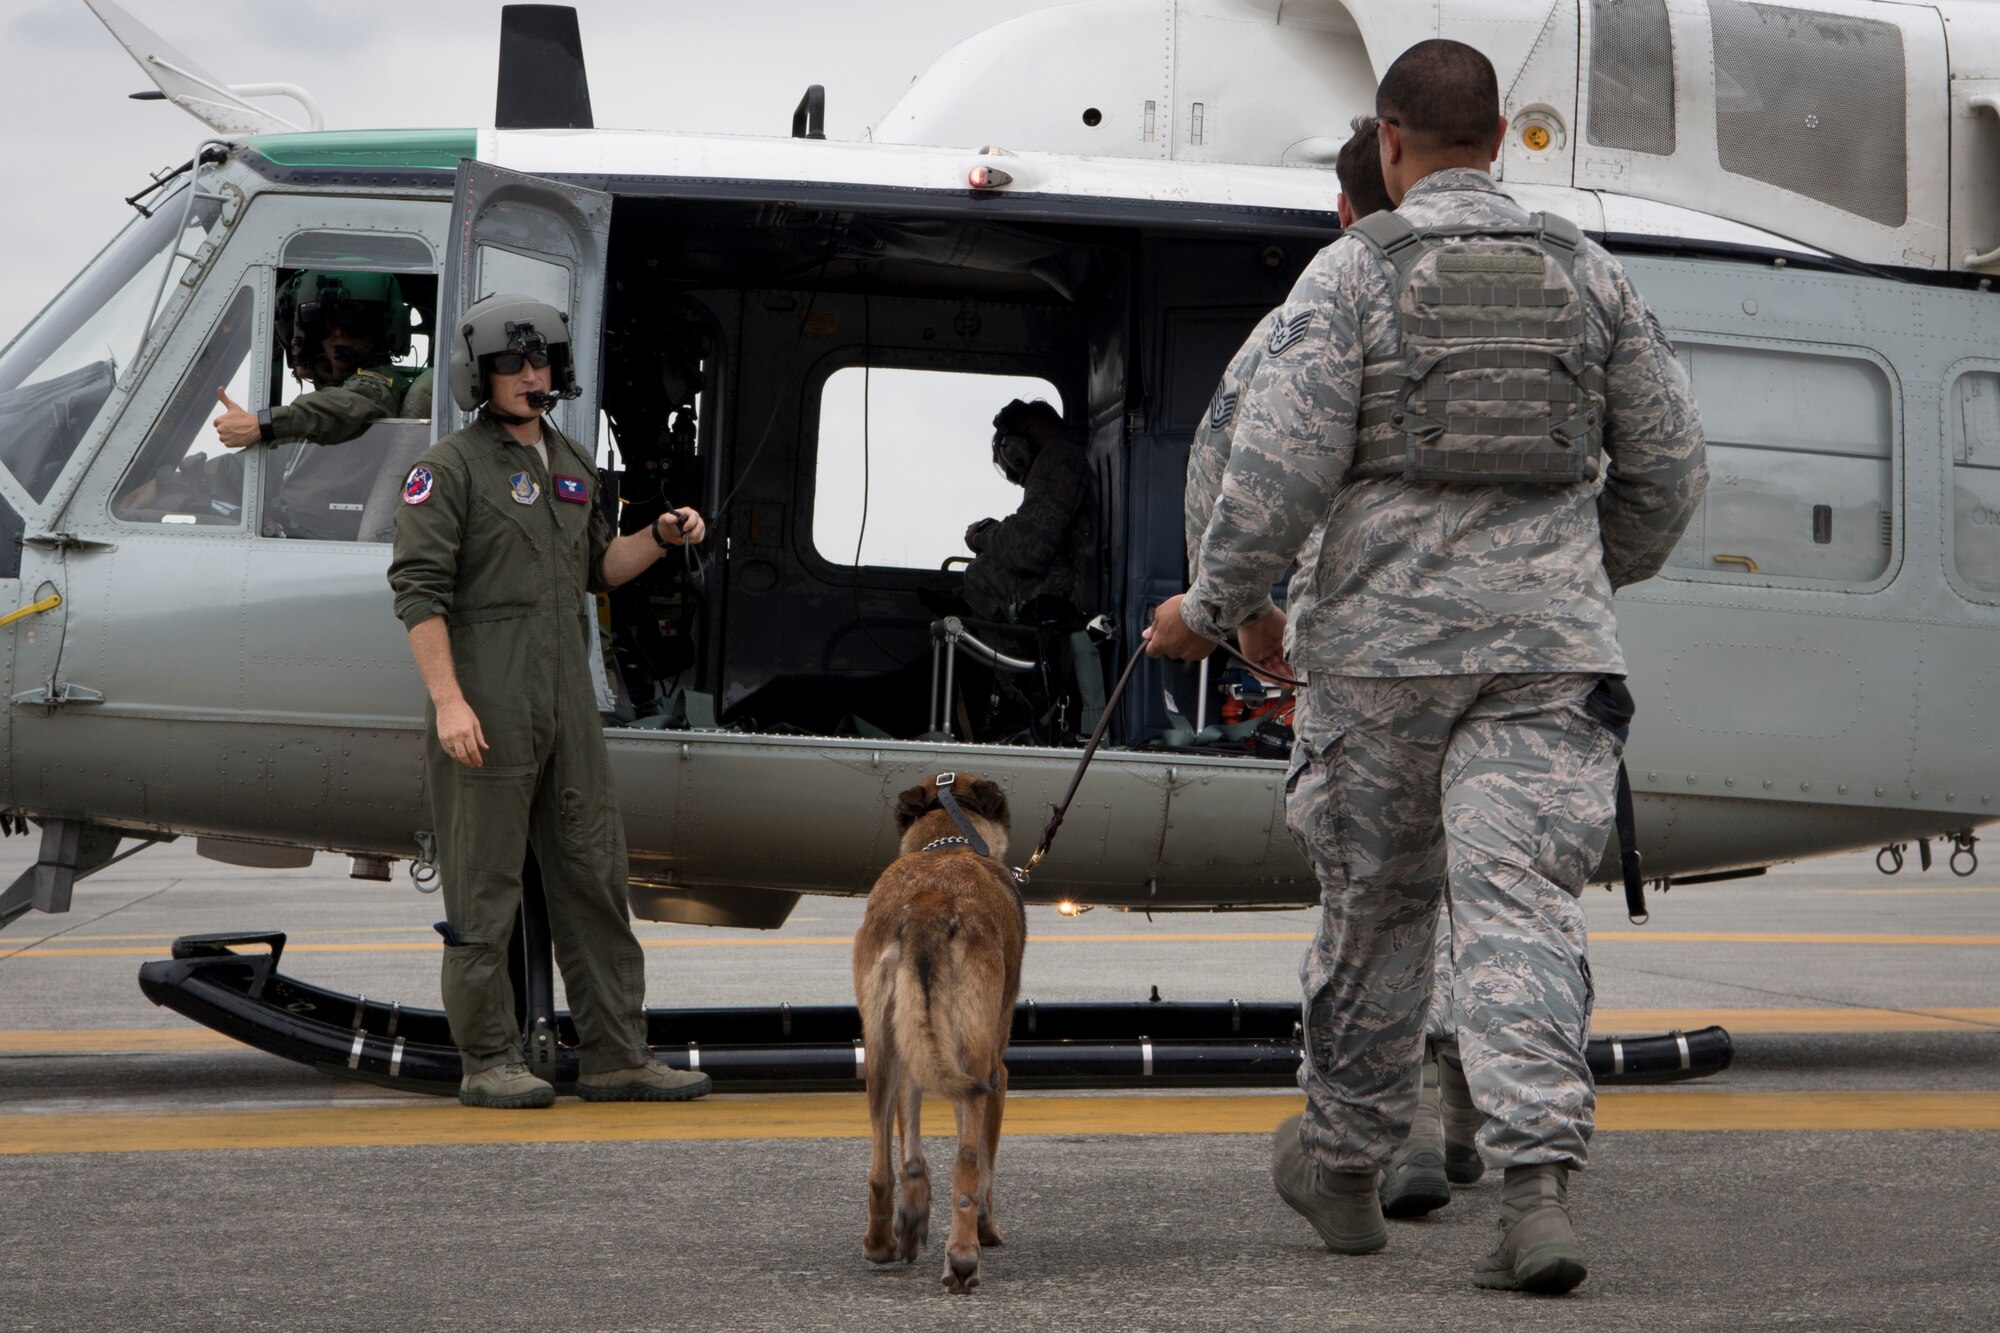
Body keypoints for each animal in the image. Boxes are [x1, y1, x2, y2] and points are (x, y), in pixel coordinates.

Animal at [848, 768, 1024, 1288]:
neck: (948, 846)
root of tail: (931, 898)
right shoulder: (999, 1074)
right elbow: (985, 1165)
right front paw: (987, 1229)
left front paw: (911, 1217)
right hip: (977, 1065)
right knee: (967, 1163)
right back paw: (963, 1256)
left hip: (882, 1052)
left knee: (883, 1165)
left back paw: (883, 1242)